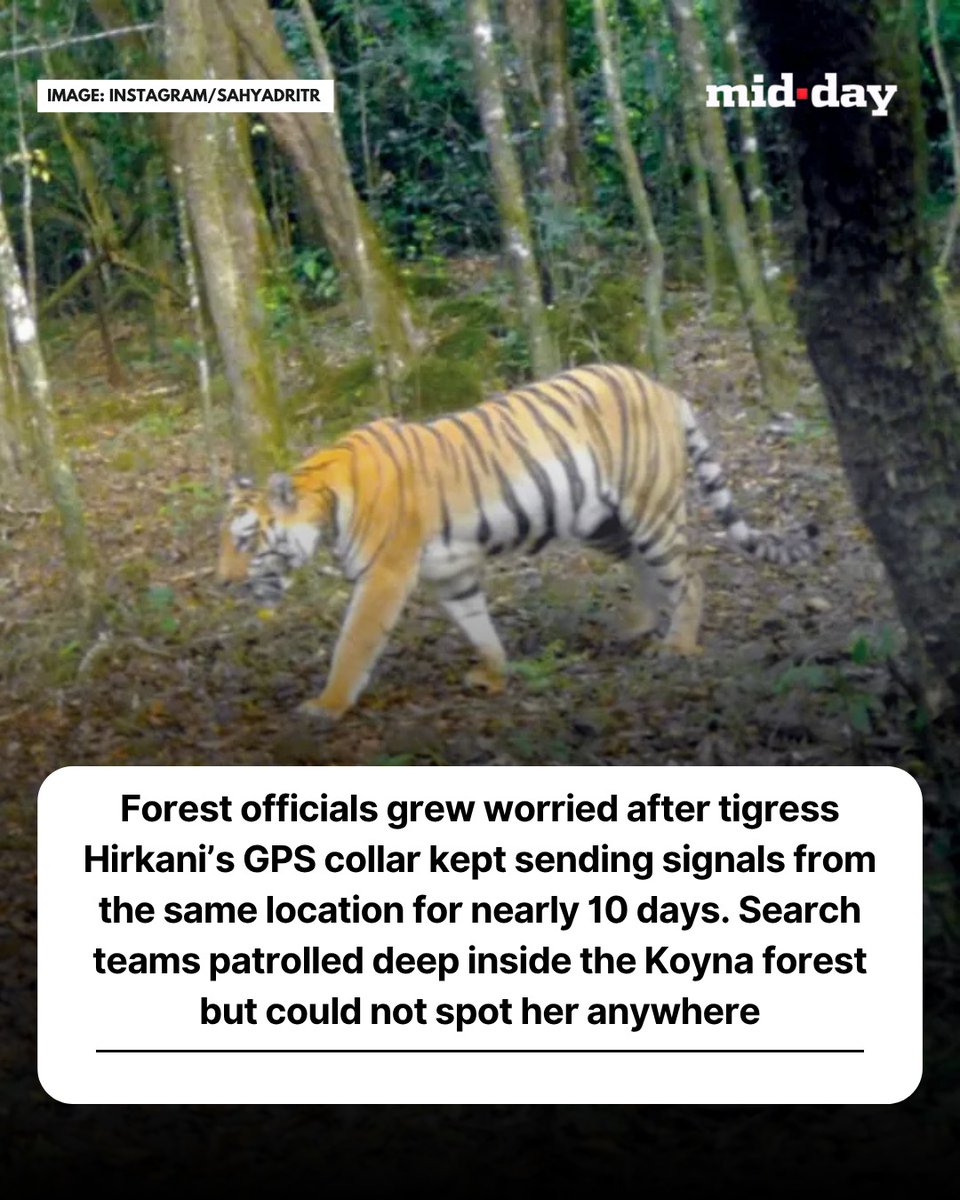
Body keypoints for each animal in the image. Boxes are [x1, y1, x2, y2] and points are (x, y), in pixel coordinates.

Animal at [217, 363, 816, 722]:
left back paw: (678, 644)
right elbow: (475, 622)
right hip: (600, 521)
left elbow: (354, 643)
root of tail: (663, 387)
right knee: (643, 566)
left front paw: (327, 704)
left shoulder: (383, 575)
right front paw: (493, 672)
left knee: (689, 575)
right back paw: (638, 625)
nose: (222, 583)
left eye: (246, 540)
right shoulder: (451, 572)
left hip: (650, 505)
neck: (325, 503)